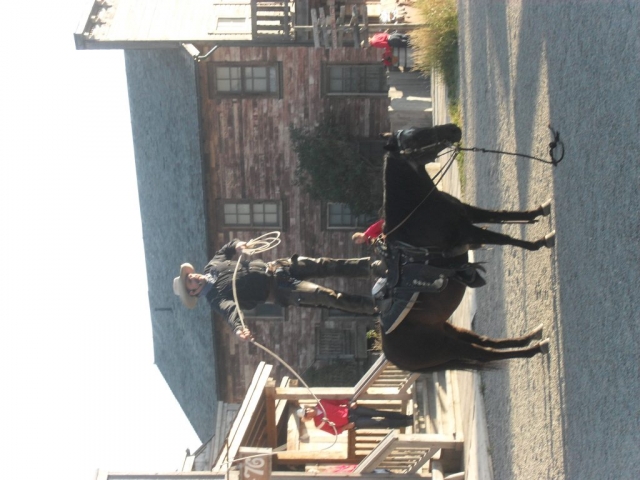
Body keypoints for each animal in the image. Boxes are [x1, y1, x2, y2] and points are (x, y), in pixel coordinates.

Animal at [378, 123, 550, 372]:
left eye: (419, 129)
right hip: (449, 347)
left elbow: (502, 215)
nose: (452, 129)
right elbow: (505, 238)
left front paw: (539, 210)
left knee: (487, 342)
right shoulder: (467, 231)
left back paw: (530, 337)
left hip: (452, 332)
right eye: (414, 139)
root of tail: (390, 353)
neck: (416, 212)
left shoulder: (469, 215)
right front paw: (540, 242)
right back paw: (535, 347)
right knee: (485, 354)